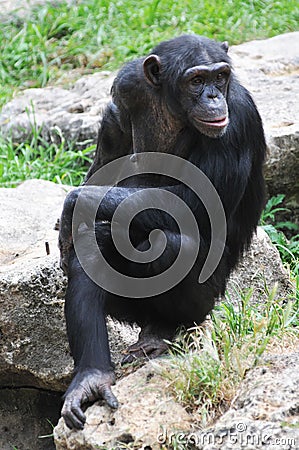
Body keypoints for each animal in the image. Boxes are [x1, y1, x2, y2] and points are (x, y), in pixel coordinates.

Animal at [58, 35, 268, 428]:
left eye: (220, 77)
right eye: (197, 80)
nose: (213, 96)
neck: (173, 108)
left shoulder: (236, 120)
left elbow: (195, 205)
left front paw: (77, 202)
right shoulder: (128, 85)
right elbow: (113, 139)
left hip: (206, 302)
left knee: (172, 246)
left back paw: (165, 333)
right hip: (130, 310)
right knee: (92, 254)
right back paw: (92, 377)